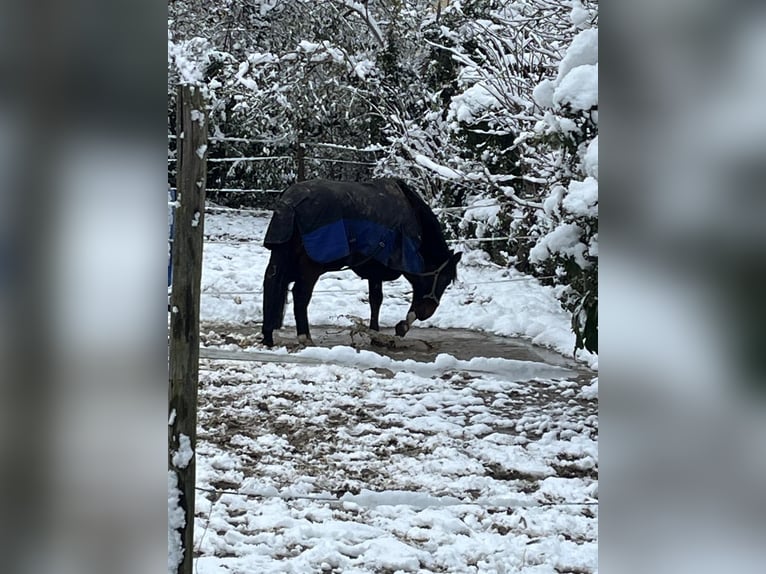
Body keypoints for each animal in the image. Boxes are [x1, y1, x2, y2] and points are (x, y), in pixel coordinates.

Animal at [260, 178, 462, 348]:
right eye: (444, 280)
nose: (426, 313)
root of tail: (291, 203)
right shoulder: (379, 268)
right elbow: (377, 299)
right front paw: (394, 330)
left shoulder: (374, 270)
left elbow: (375, 300)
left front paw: (379, 333)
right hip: (311, 266)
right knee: (300, 295)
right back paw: (305, 338)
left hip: (281, 257)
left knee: (271, 284)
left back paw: (268, 336)